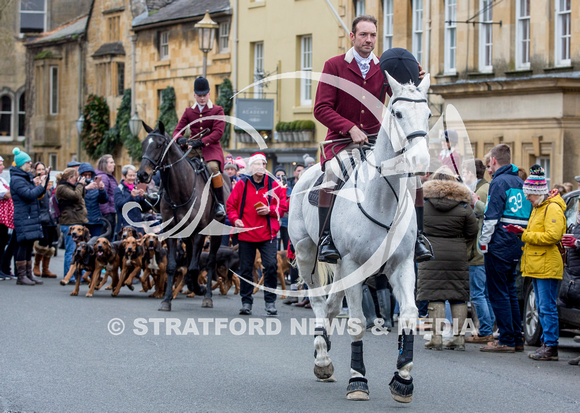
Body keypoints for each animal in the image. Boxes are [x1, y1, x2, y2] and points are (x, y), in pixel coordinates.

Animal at [136, 120, 227, 310]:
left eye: (159, 145)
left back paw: (206, 295)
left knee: (210, 261)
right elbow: (173, 266)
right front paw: (166, 299)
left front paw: (198, 289)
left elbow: (194, 267)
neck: (181, 189)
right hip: (187, 235)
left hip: (215, 232)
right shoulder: (172, 230)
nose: (142, 174)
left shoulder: (200, 231)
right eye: (143, 144)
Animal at [290, 72, 430, 400]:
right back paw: (322, 356)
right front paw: (358, 380)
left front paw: (403, 378)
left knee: (330, 306)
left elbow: (408, 314)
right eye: (398, 113)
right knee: (318, 301)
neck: (383, 199)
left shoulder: (402, 265)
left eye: (429, 114)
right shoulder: (352, 264)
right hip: (306, 253)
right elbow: (356, 322)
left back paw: (324, 354)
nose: (420, 160)